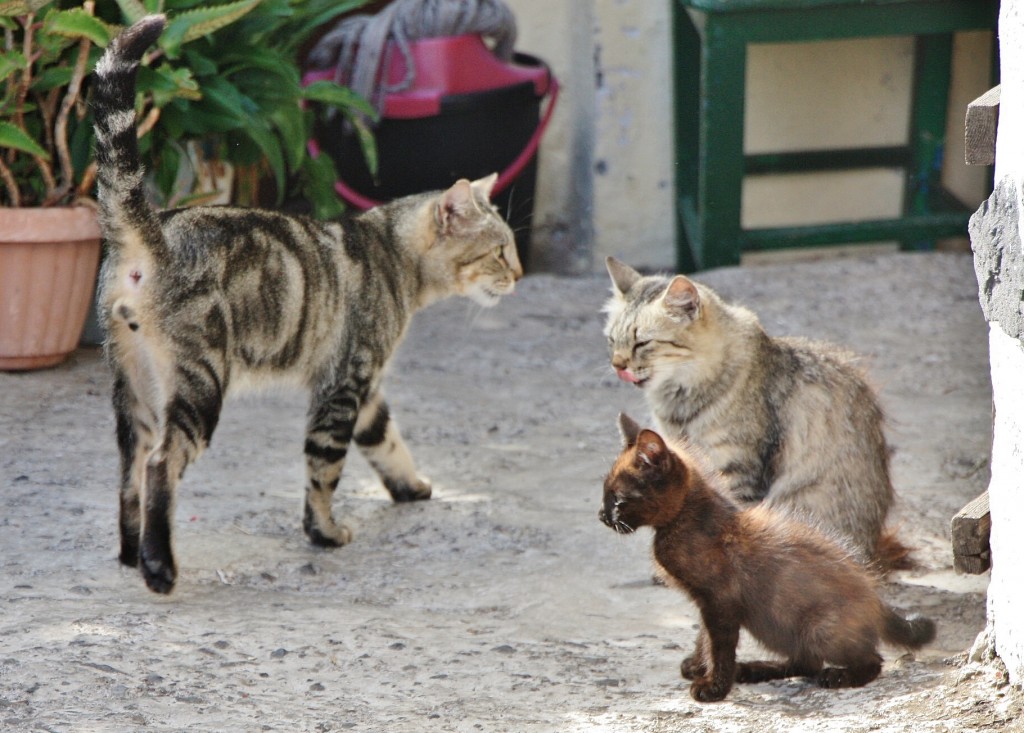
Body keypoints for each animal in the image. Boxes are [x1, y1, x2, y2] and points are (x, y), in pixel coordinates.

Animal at [94, 15, 520, 593]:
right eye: (500, 251)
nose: (519, 274)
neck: (391, 253)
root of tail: (155, 231)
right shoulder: (345, 383)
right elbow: (325, 471)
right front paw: (324, 532)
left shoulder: (368, 391)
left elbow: (389, 442)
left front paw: (411, 487)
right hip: (199, 385)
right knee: (161, 464)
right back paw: (159, 568)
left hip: (132, 390)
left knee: (129, 472)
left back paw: (131, 554)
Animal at [598, 415, 937, 700]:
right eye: (605, 495)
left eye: (619, 499)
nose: (601, 515)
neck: (688, 520)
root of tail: (877, 600)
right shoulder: (706, 603)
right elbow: (703, 637)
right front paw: (699, 667)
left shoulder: (720, 602)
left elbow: (719, 646)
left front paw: (714, 686)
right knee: (805, 663)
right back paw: (752, 670)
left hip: (817, 627)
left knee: (869, 660)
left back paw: (836, 676)